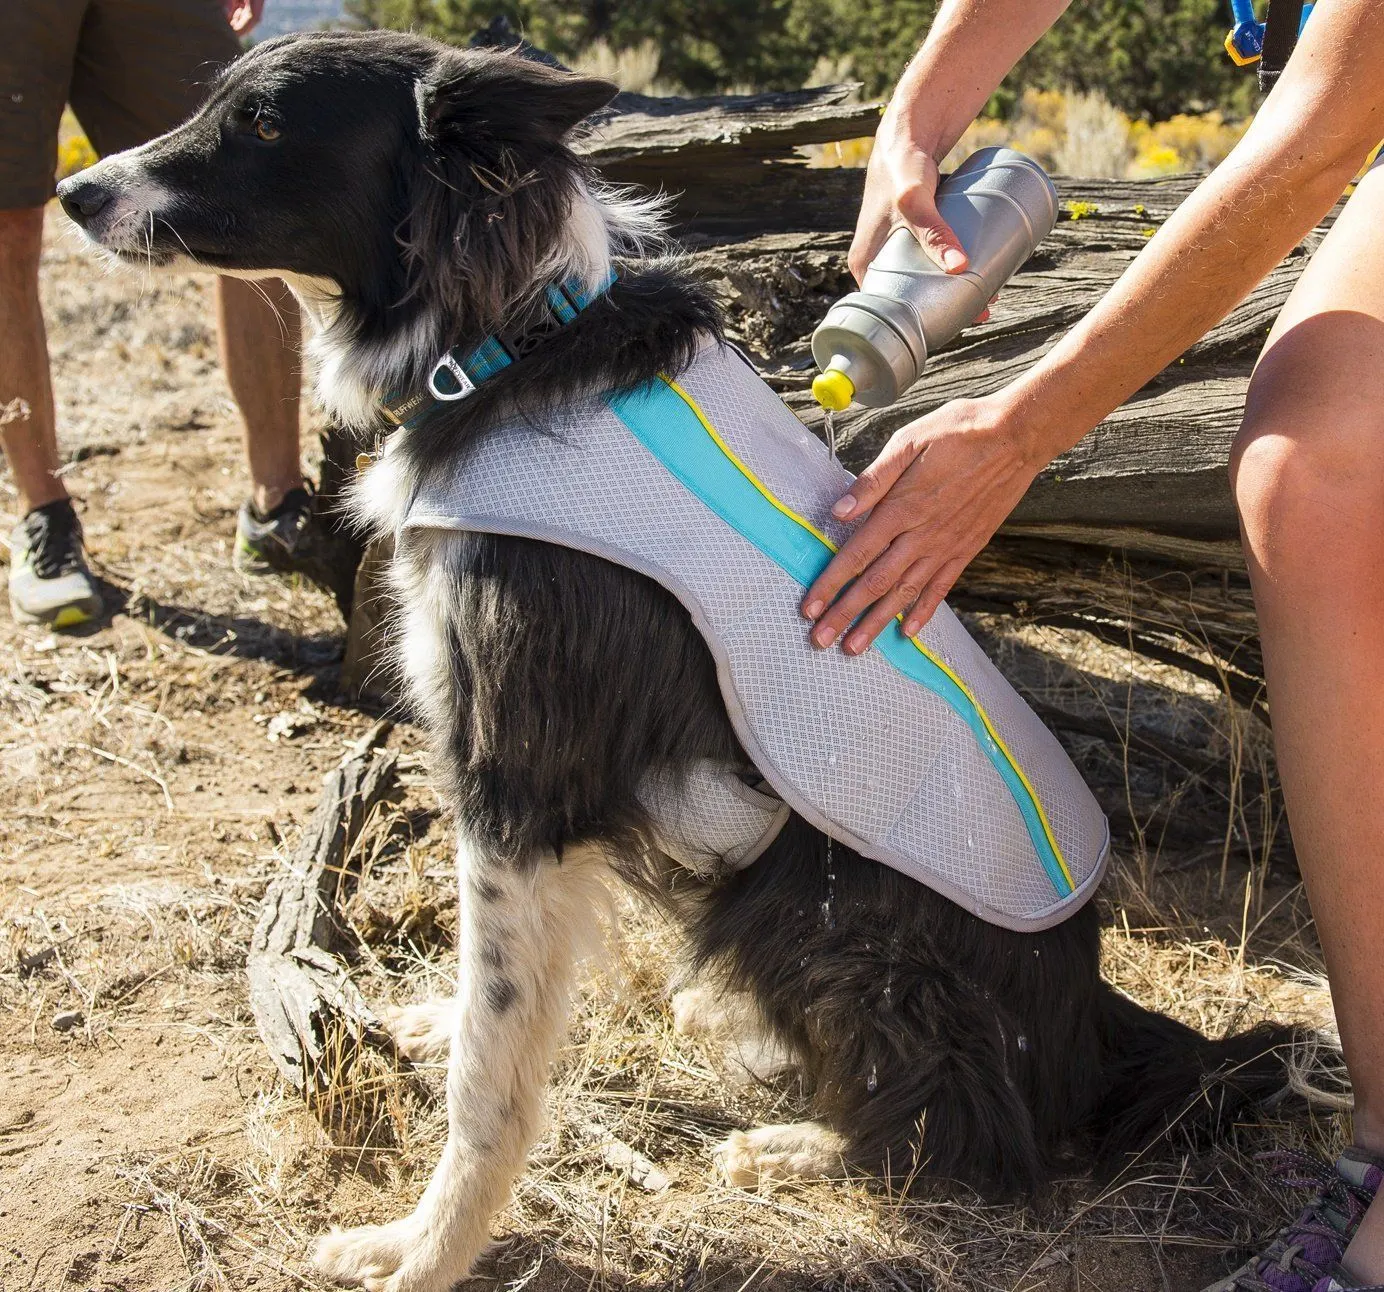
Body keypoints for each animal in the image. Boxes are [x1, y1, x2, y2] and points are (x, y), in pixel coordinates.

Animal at [59, 35, 1300, 1292]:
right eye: (221, 98)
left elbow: (491, 1068)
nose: (75, 192)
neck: (505, 340)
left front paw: (424, 1245)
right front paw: (438, 1029)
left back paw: (806, 1138)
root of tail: (1089, 1020)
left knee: (980, 1132)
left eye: (265, 125)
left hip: (825, 922)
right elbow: (500, 996)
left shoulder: (517, 774)